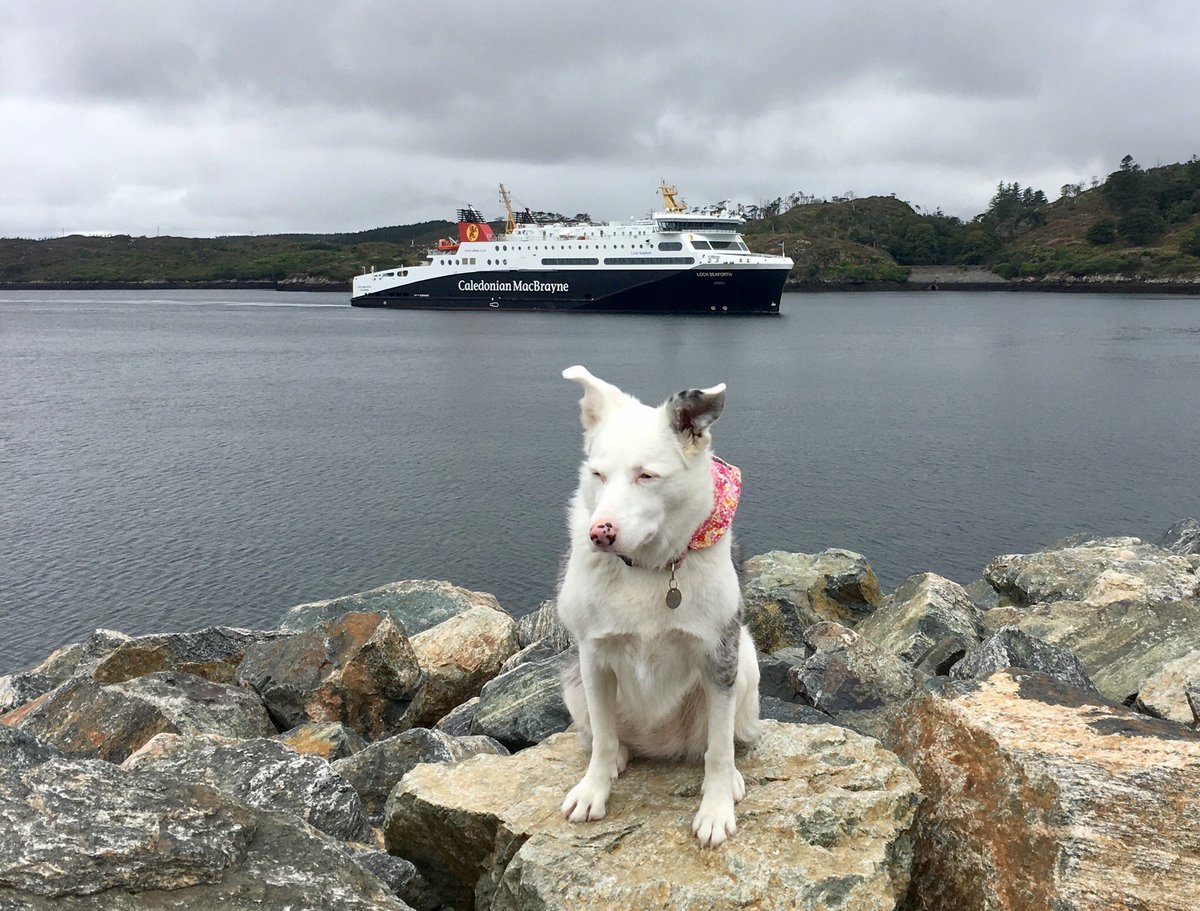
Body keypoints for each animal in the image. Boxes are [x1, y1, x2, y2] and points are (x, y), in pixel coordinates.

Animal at [552, 362, 758, 849]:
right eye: (597, 474)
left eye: (646, 476)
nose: (599, 533)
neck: (646, 569)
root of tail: (662, 744)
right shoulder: (592, 657)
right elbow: (603, 736)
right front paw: (593, 790)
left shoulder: (720, 655)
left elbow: (719, 751)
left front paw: (716, 808)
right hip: (571, 682)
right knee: (603, 735)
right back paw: (619, 758)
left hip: (748, 662)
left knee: (719, 742)